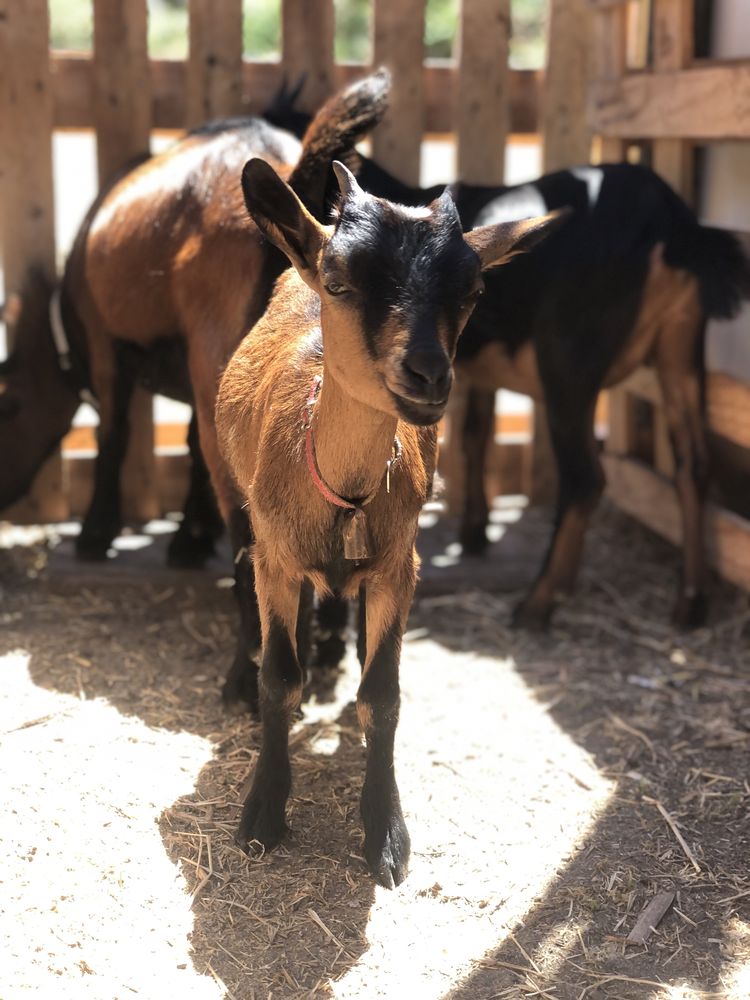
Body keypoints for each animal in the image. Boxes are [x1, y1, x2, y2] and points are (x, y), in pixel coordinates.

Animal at [214, 160, 560, 888]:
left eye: (473, 288)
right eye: (341, 282)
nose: (428, 374)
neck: (343, 494)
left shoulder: (400, 566)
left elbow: (383, 695)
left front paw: (386, 834)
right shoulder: (277, 558)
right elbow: (277, 679)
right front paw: (263, 812)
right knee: (243, 576)